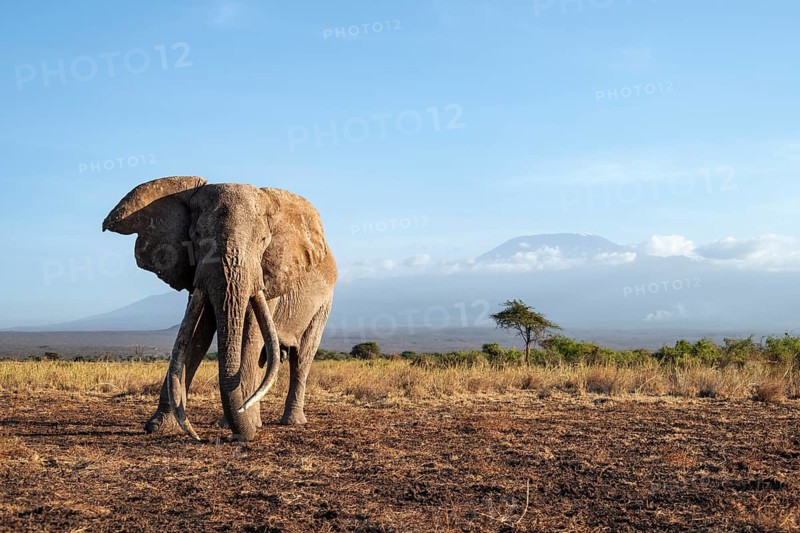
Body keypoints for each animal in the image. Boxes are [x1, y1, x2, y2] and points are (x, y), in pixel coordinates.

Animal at [103, 176, 337, 441]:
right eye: (196, 236)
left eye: (263, 241)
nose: (197, 436)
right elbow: (196, 333)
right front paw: (159, 427)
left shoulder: (269, 274)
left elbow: (250, 333)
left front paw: (244, 425)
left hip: (324, 304)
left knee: (302, 356)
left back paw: (288, 422)